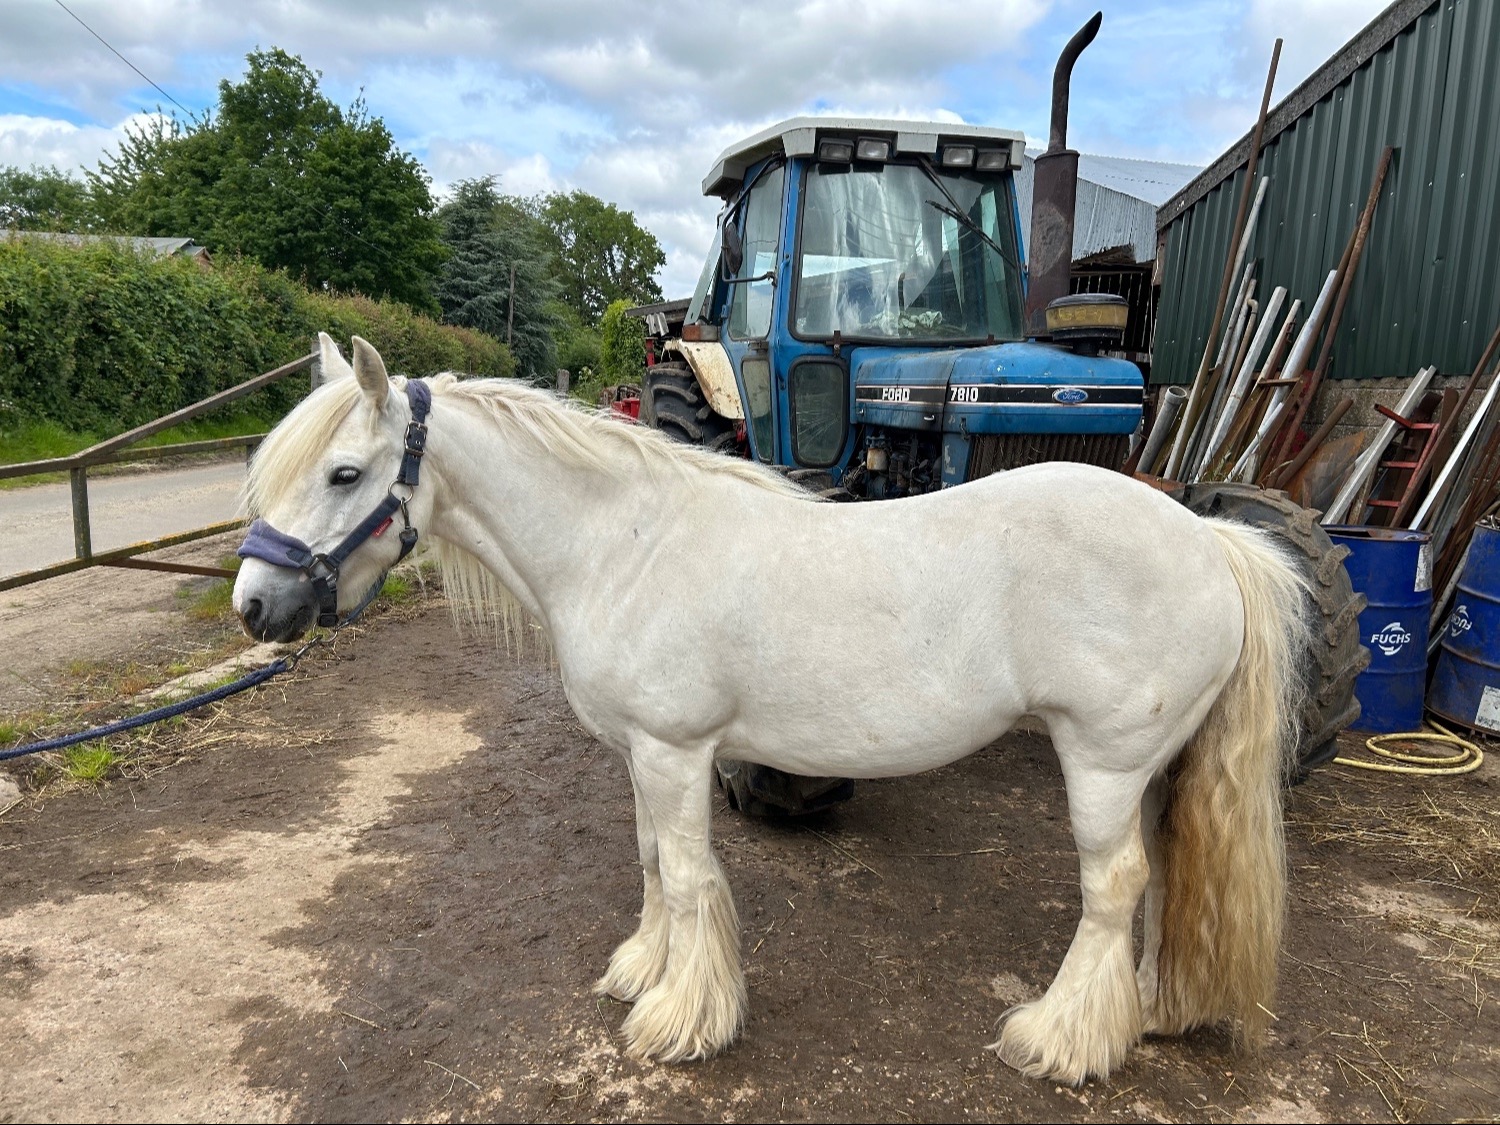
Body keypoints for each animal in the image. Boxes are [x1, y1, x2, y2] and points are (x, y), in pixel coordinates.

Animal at [232, 333, 1309, 1084]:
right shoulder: (641, 753)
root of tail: (1209, 539)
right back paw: (1151, 1006)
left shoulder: (675, 752)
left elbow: (686, 875)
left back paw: (1060, 1039)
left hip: (1103, 761)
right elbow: (651, 863)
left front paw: (679, 1019)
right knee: (1167, 871)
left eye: (343, 473)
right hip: (1154, 766)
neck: (623, 542)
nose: (254, 606)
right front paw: (643, 969)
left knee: (1114, 886)